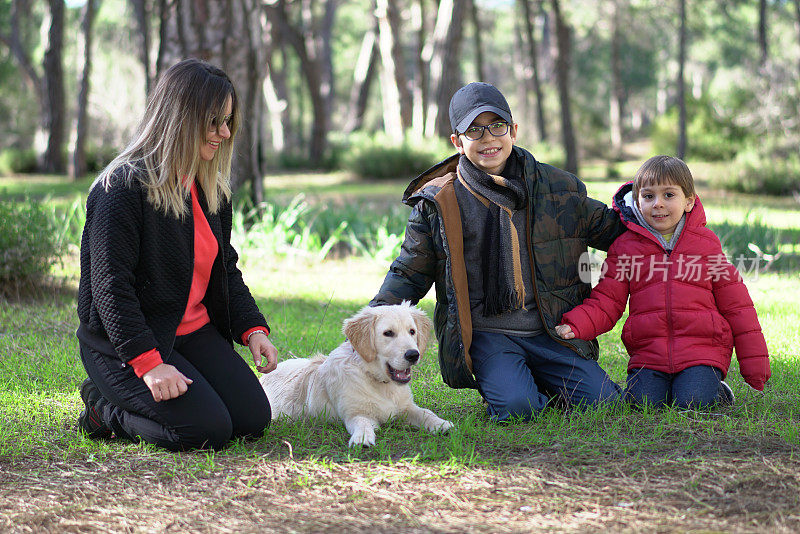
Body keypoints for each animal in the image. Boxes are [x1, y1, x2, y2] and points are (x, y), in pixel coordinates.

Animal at [260, 302, 454, 448]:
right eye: (388, 333)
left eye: (412, 331)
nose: (413, 355)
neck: (380, 383)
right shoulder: (355, 413)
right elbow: (363, 423)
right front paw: (362, 438)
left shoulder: (406, 407)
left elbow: (425, 412)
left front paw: (441, 424)